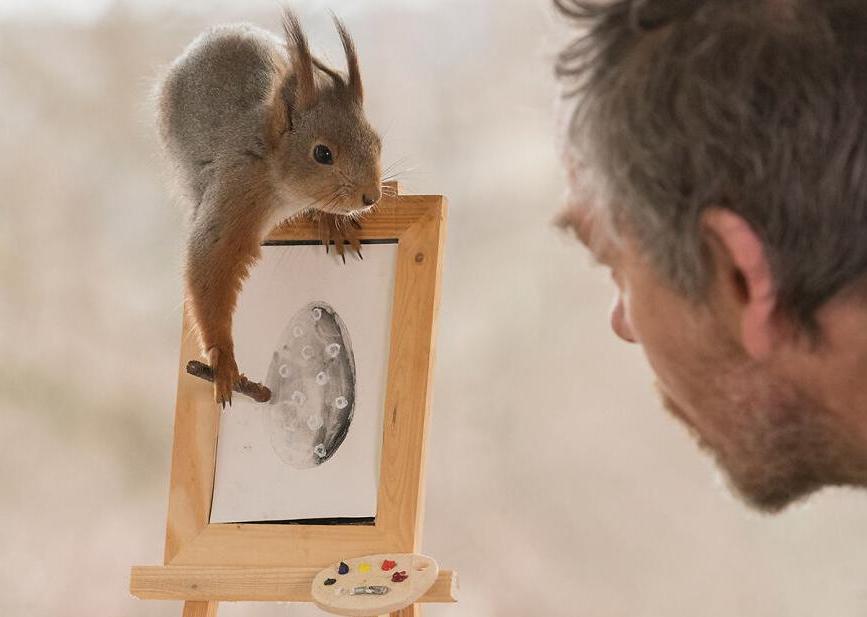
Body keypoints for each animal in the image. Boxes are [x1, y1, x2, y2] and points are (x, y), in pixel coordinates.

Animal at [158, 9, 382, 406]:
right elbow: (210, 260)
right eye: (322, 153)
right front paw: (223, 360)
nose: (371, 196)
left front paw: (332, 221)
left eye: (377, 142)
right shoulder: (236, 194)